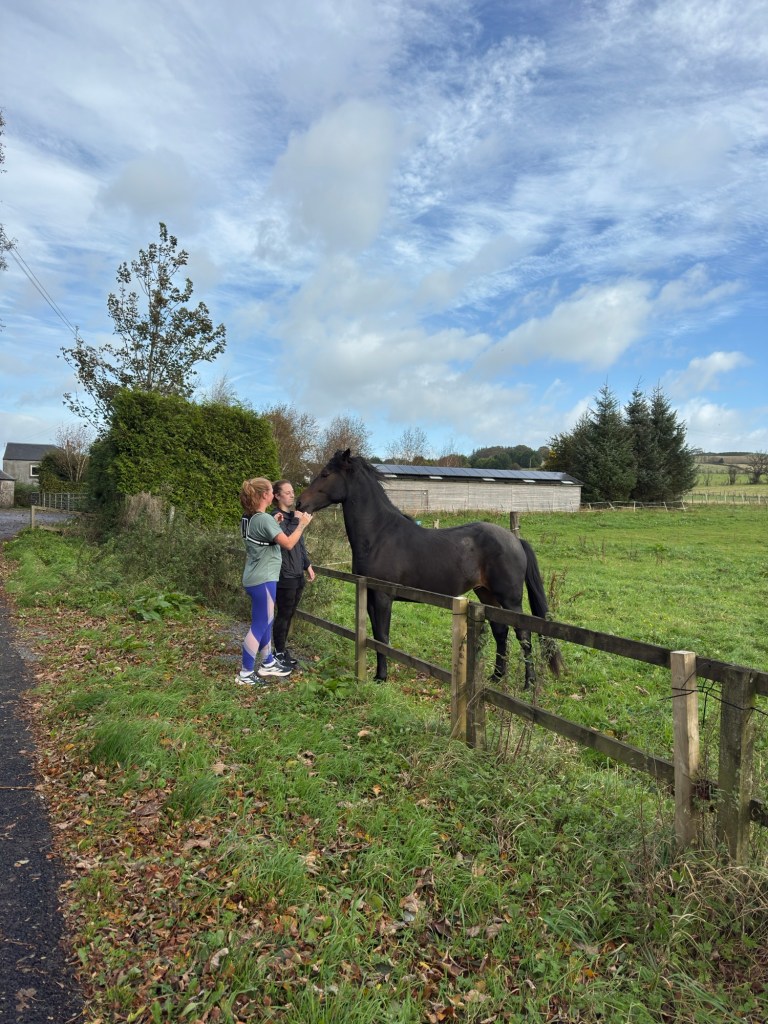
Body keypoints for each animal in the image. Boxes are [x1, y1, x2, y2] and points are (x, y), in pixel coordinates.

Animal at [297, 449, 563, 688]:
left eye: (325, 474)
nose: (300, 503)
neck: (379, 535)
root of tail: (515, 540)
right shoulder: (370, 595)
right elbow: (374, 635)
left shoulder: (383, 597)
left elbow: (383, 636)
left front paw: (381, 677)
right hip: (486, 595)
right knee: (501, 631)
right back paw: (496, 677)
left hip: (510, 599)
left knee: (523, 634)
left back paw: (528, 683)